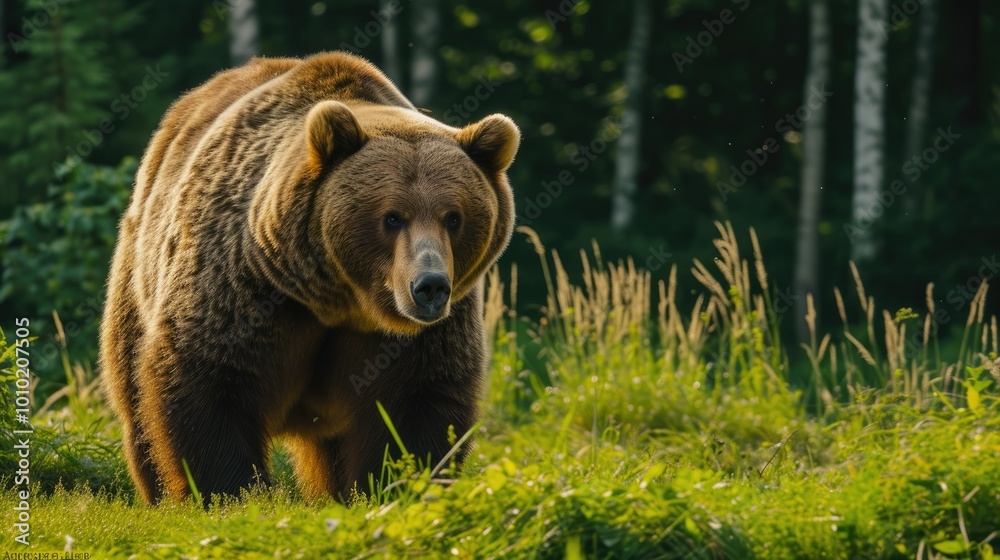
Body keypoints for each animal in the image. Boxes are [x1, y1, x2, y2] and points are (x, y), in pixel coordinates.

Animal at [99, 51, 518, 504]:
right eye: (392, 216)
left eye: (453, 217)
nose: (429, 287)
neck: (342, 300)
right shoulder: (246, 287)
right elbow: (210, 379)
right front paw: (230, 491)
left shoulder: (422, 334)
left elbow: (417, 403)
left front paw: (393, 485)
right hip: (136, 280)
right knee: (136, 401)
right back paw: (158, 492)